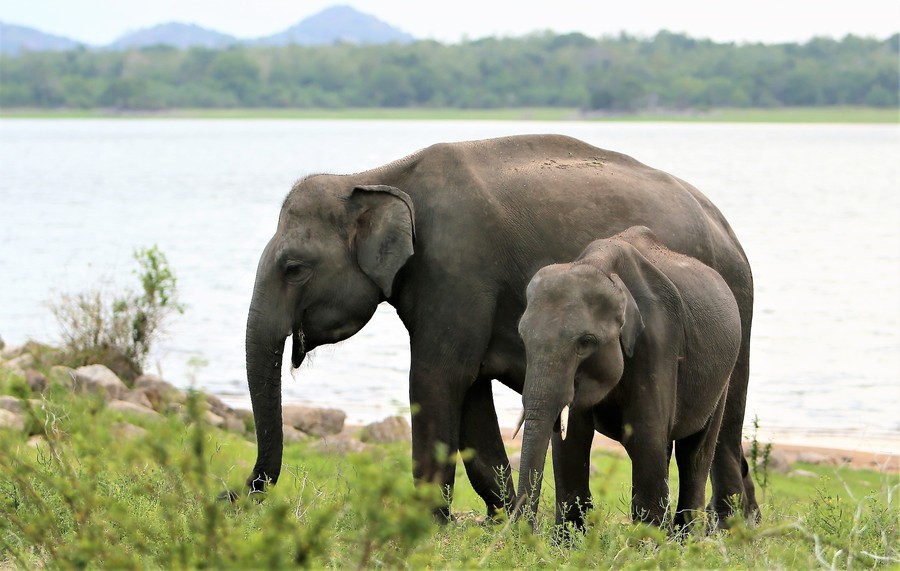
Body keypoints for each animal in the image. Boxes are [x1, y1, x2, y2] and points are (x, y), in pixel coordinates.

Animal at [516, 226, 740, 528]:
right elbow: (571, 438)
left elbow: (645, 435)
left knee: (694, 453)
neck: (599, 265)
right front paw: (567, 539)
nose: (520, 531)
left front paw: (648, 540)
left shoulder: (658, 339)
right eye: (523, 338)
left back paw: (686, 535)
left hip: (722, 376)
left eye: (586, 342)